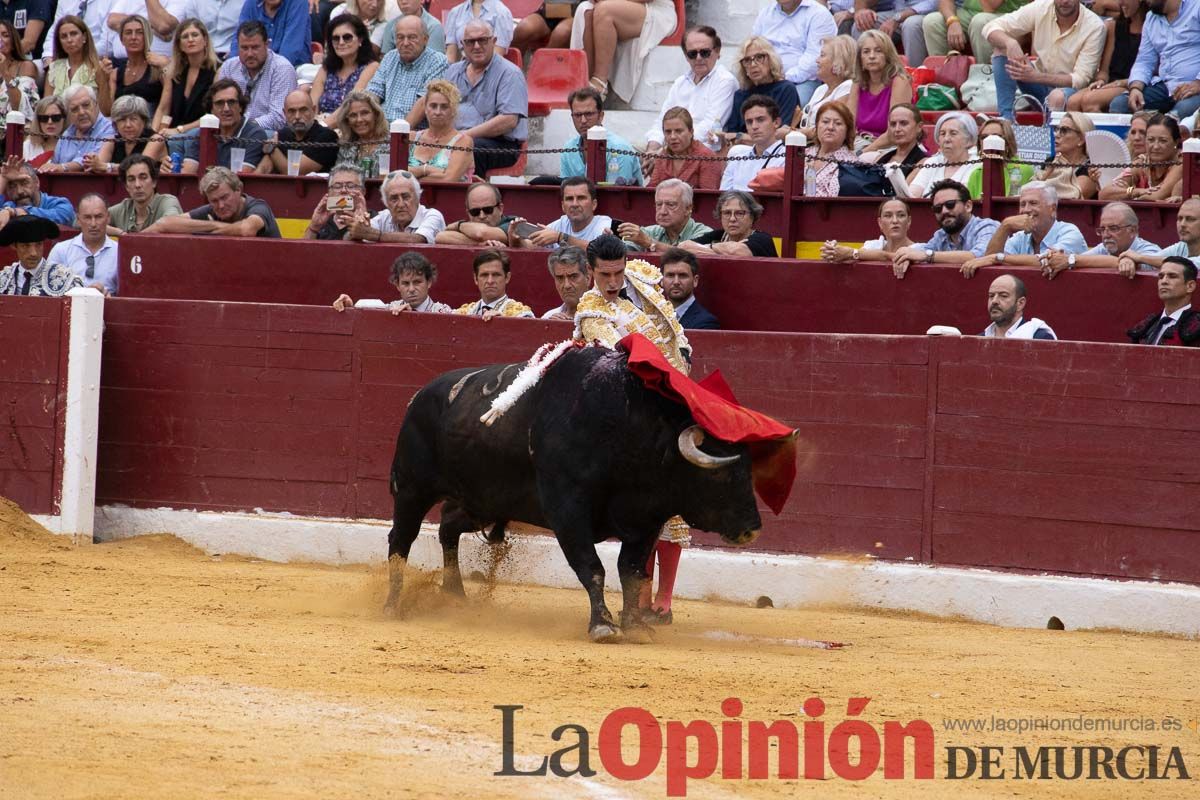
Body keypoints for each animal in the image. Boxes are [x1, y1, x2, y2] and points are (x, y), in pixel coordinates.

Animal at [388, 347, 772, 642]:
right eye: (720, 473)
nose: (752, 529)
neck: (627, 429)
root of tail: (420, 395)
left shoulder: (645, 521)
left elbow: (632, 571)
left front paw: (635, 627)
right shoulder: (568, 512)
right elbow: (592, 566)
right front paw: (603, 626)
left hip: (481, 500)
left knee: (448, 527)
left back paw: (455, 595)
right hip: (411, 489)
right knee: (401, 539)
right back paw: (393, 605)